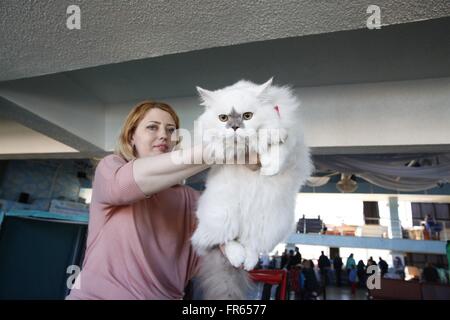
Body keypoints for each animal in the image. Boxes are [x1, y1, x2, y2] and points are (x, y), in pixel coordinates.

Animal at [190, 79, 312, 298]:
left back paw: (247, 262)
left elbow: (276, 149)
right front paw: (227, 146)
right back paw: (237, 258)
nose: (235, 127)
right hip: (224, 215)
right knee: (224, 242)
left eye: (247, 116)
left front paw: (268, 168)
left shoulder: (289, 137)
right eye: (223, 118)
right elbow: (219, 143)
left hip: (268, 223)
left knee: (252, 245)